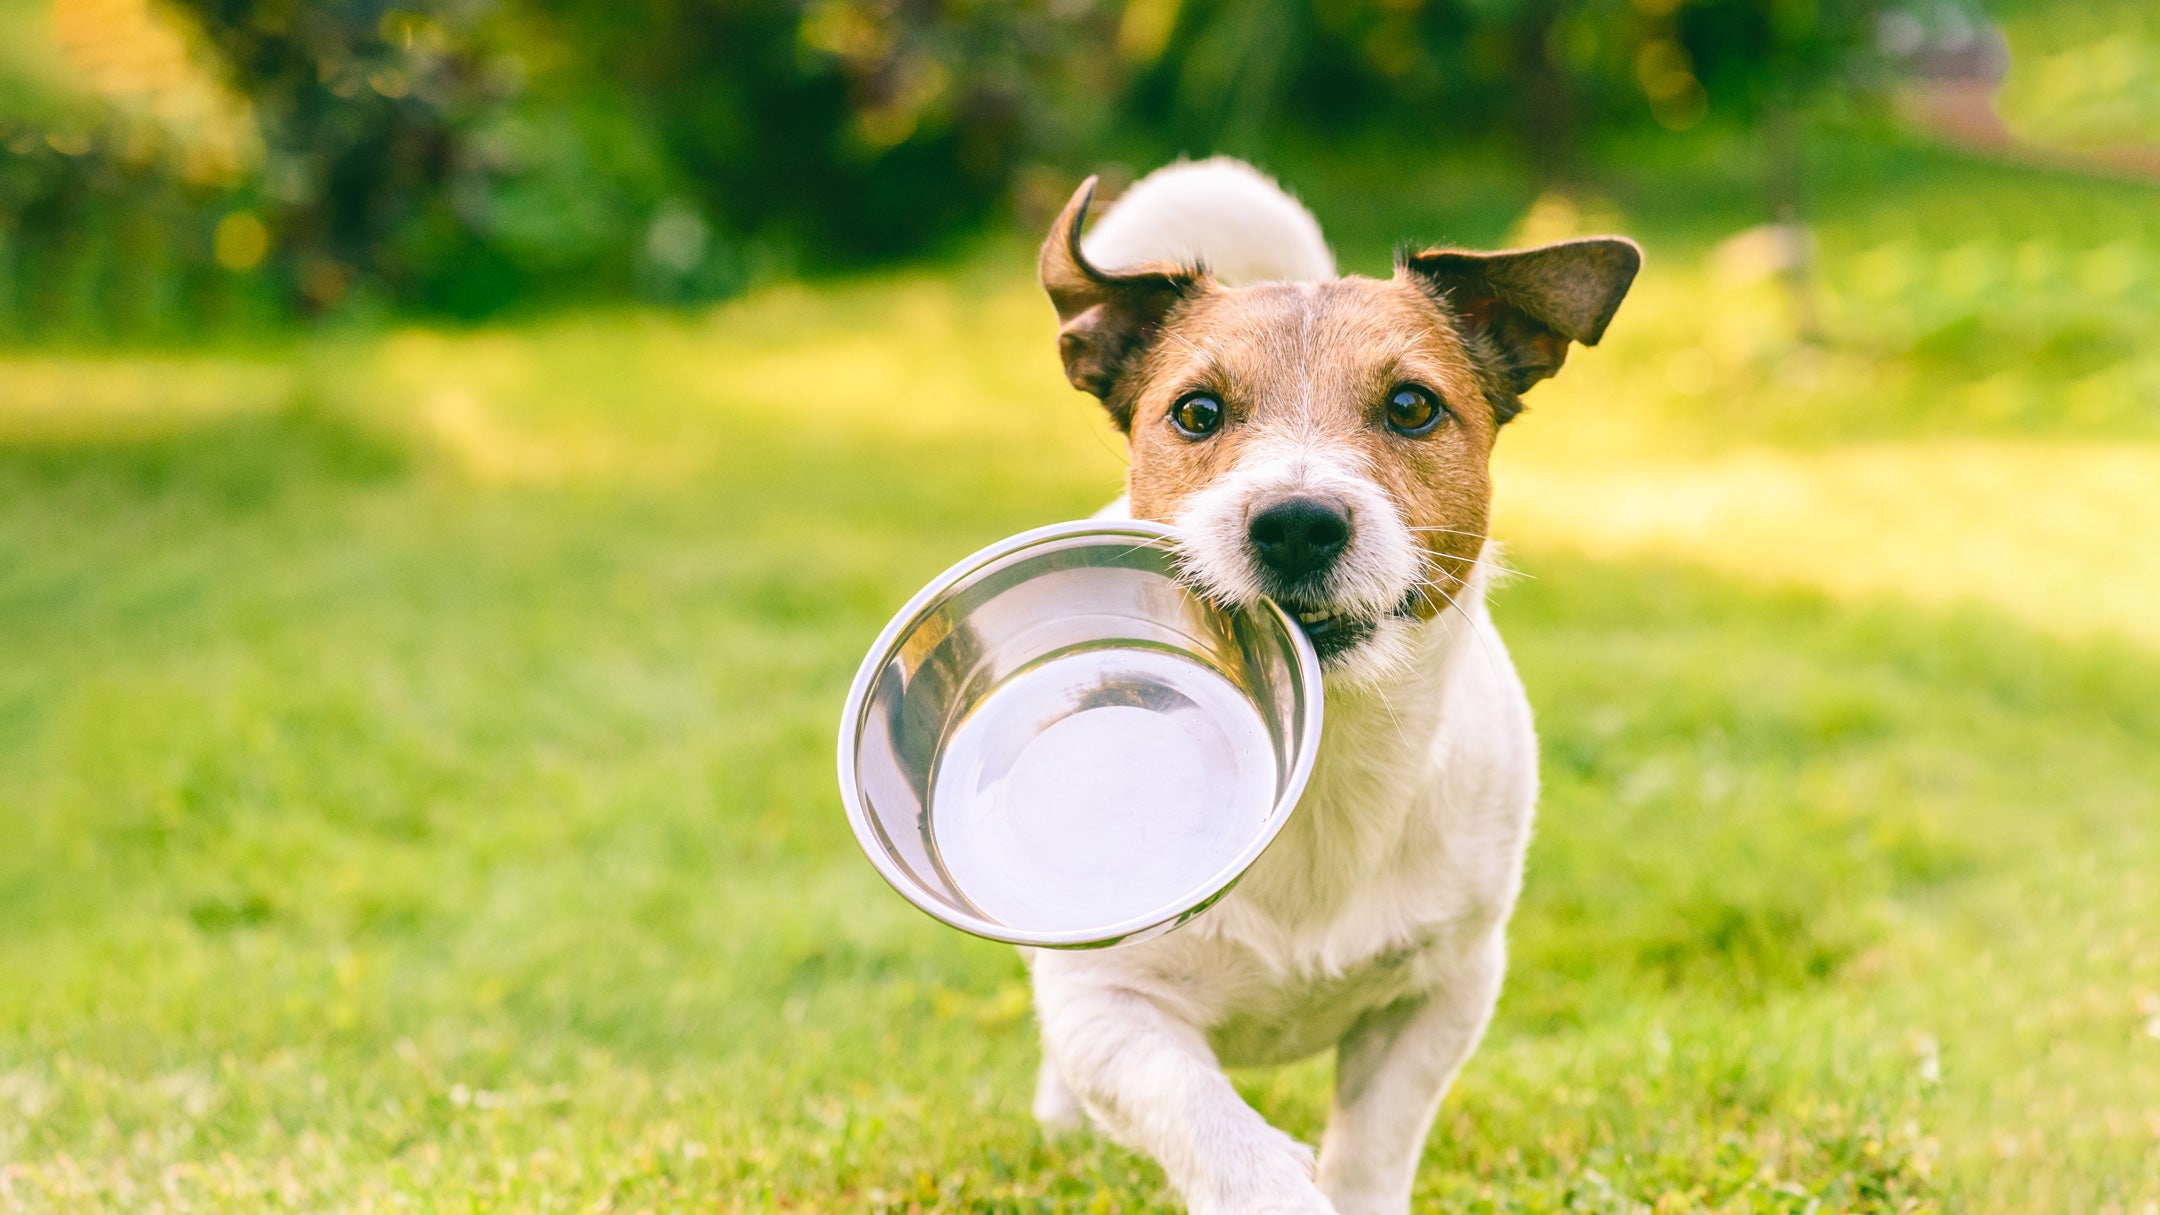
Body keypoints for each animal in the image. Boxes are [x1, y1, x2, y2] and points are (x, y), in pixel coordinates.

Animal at [1023, 161, 1632, 1210]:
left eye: (1413, 406)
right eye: (1196, 412)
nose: (1297, 522)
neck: (1326, 759)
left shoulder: (1443, 993)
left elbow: (1373, 1146)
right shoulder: (1109, 1005)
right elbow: (1206, 1118)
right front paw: (1268, 1182)